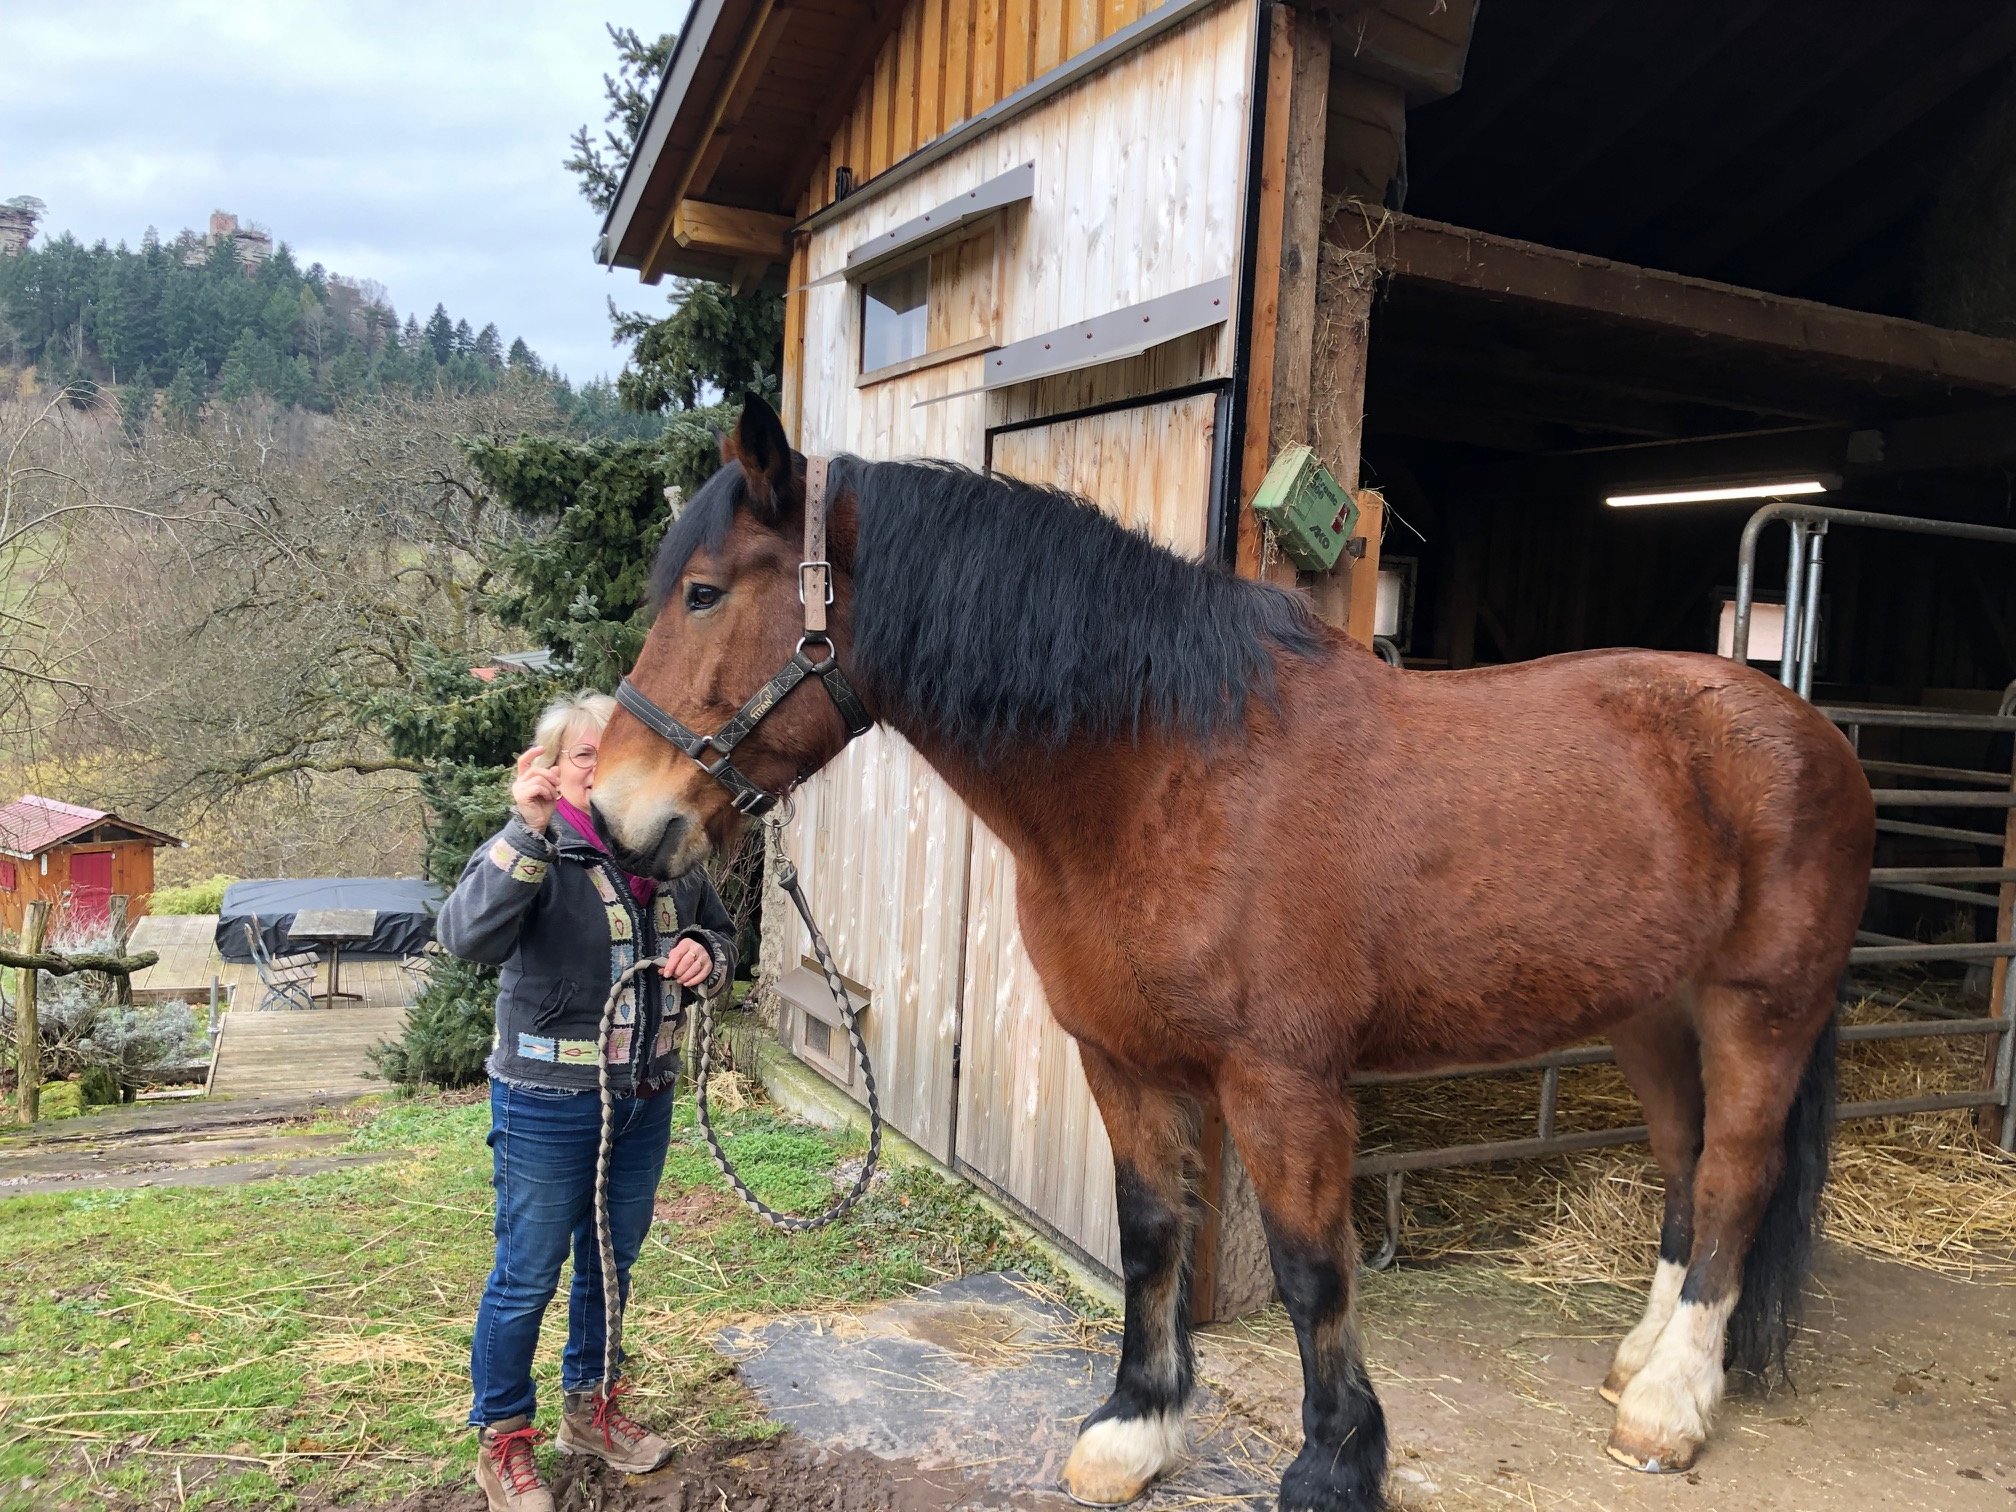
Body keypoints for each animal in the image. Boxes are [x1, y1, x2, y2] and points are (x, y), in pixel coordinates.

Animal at [590, 396, 1874, 1512]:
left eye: (703, 593)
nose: (615, 813)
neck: (1168, 774)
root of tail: (1811, 730)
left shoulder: (1282, 1081)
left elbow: (1314, 1268)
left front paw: (1336, 1464)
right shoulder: (1119, 1060)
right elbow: (1150, 1235)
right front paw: (1134, 1428)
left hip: (1760, 1010)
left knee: (1736, 1176)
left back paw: (1670, 1406)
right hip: (1652, 1014)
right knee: (1684, 1165)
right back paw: (1641, 1361)